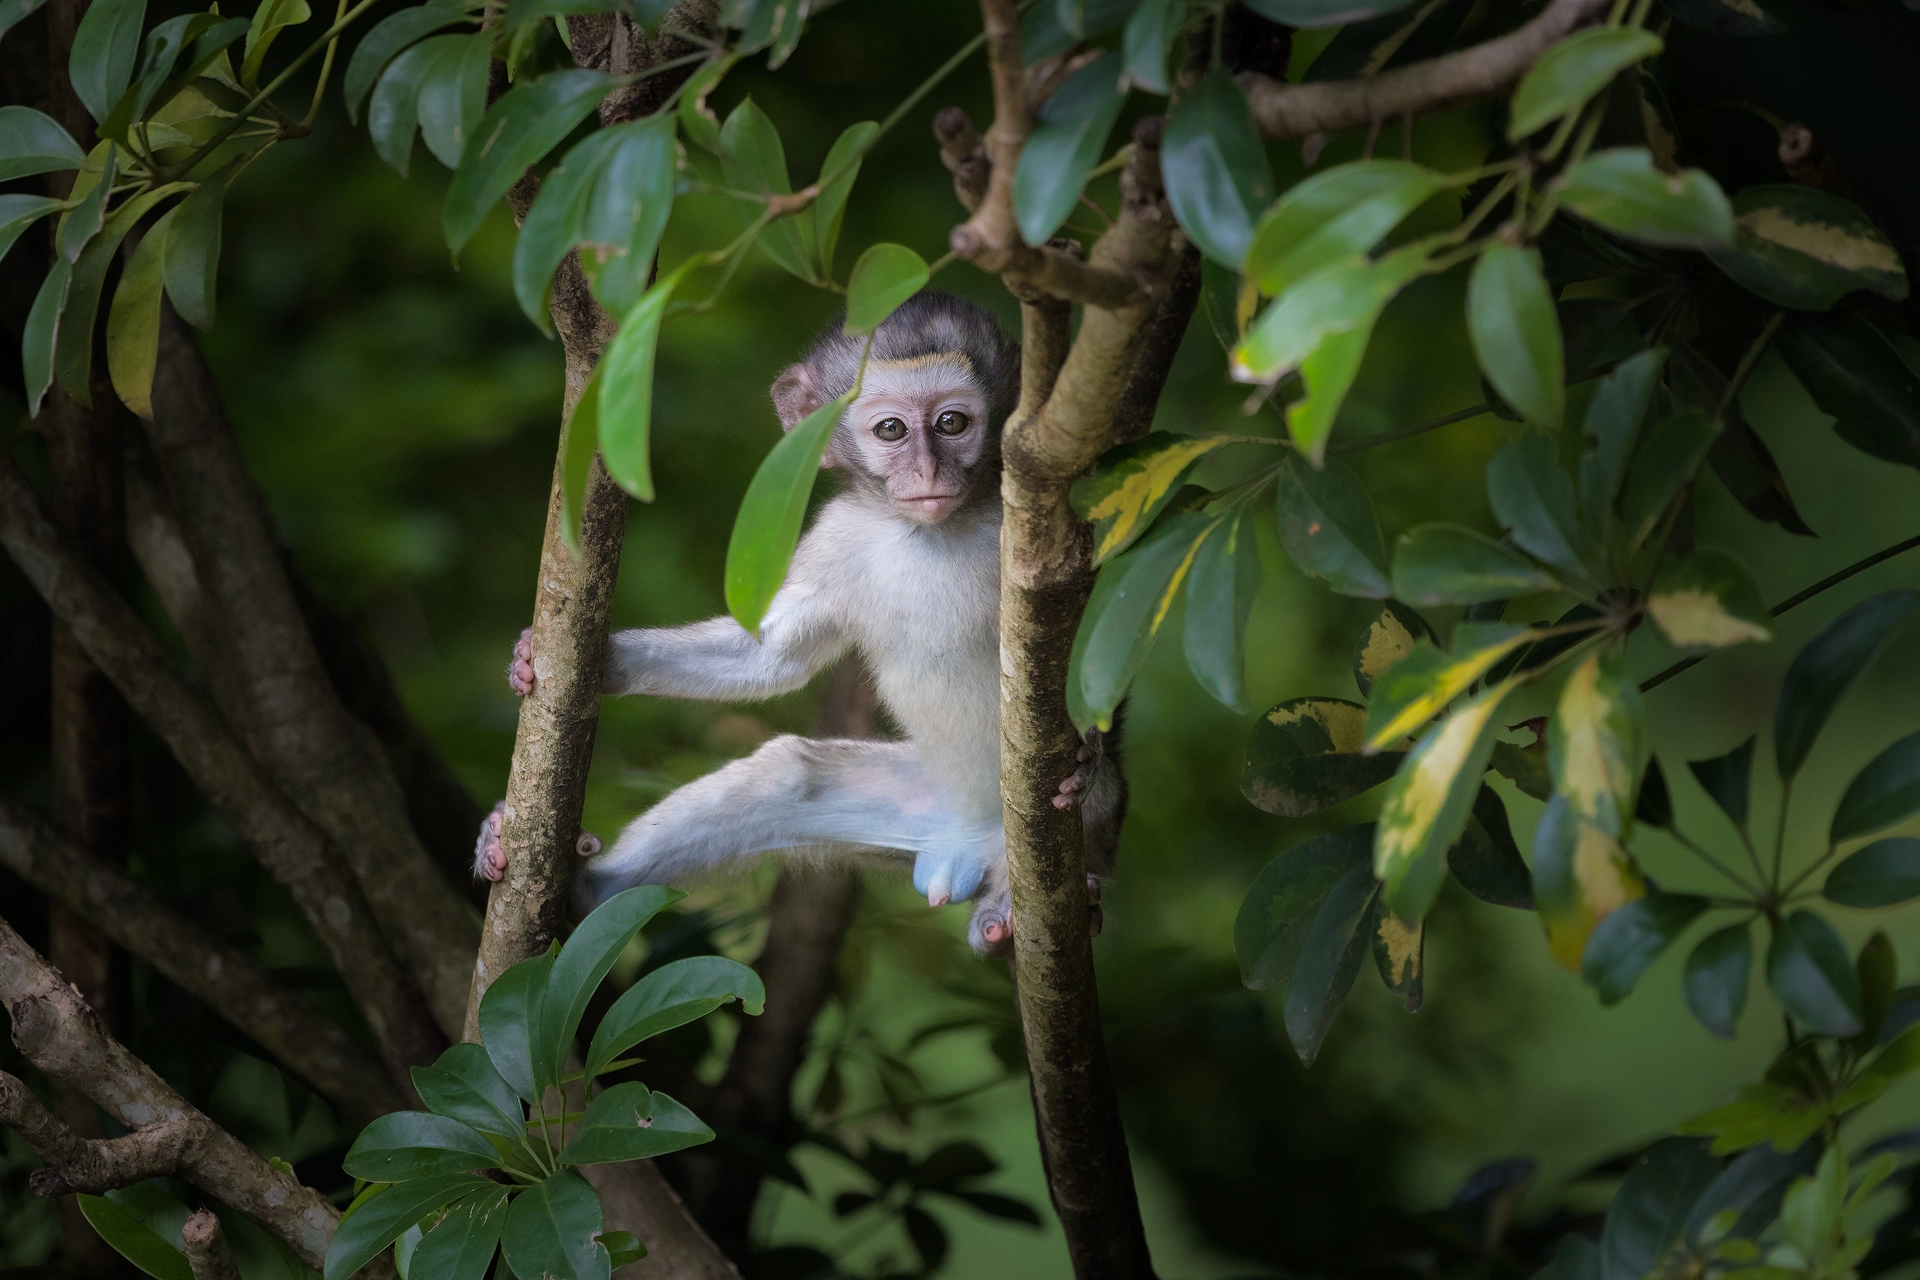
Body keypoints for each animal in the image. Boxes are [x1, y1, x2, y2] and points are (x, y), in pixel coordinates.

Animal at [474, 290, 1124, 955]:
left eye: (952, 424)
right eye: (892, 429)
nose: (928, 473)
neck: (928, 531)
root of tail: (964, 855)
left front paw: (1086, 754)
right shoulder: (838, 536)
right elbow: (772, 656)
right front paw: (576, 661)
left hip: (1086, 825)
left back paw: (1038, 899)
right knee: (786, 774)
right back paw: (579, 888)